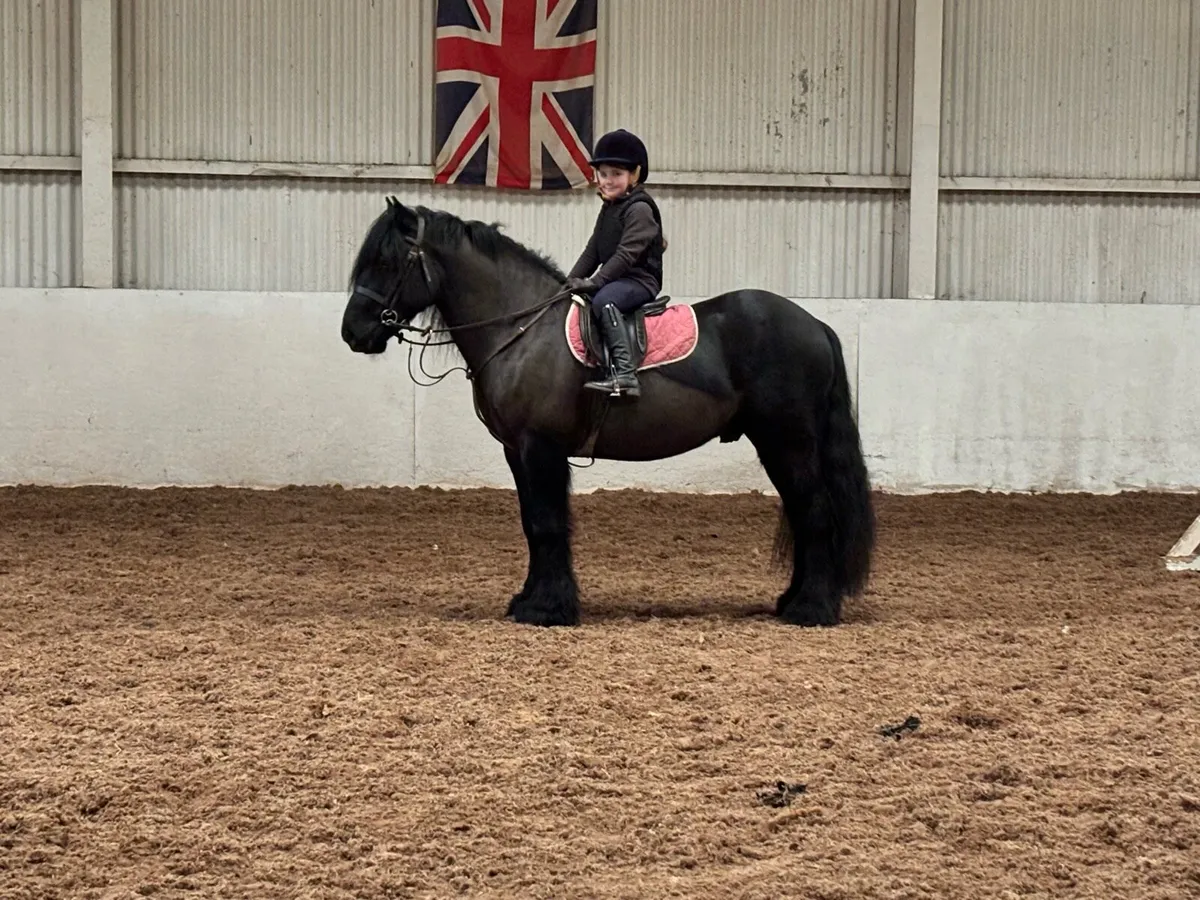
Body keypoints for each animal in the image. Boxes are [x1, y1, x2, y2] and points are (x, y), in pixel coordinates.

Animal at [340, 196, 876, 628]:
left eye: (386, 261)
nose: (353, 332)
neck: (521, 329)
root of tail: (814, 324)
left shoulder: (541, 448)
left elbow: (548, 523)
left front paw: (548, 609)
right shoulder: (518, 452)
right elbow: (532, 524)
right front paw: (529, 600)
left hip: (788, 442)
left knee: (814, 511)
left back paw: (812, 609)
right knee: (804, 512)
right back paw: (793, 601)